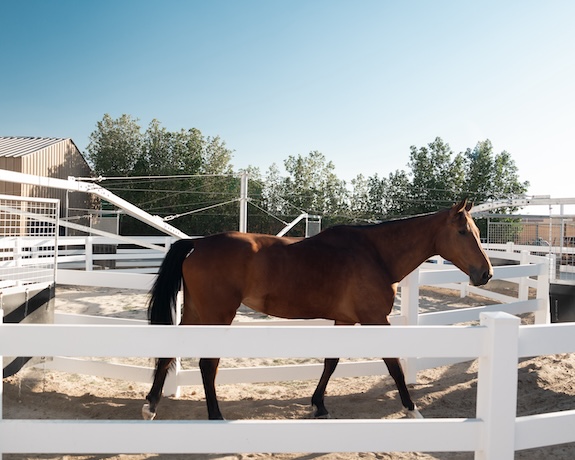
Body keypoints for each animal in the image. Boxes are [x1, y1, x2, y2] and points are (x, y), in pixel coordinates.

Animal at [142, 198, 492, 420]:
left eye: (477, 232)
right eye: (463, 232)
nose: (485, 273)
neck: (375, 252)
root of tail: (198, 243)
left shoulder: (345, 320)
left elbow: (331, 361)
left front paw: (318, 405)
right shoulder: (376, 319)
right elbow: (394, 365)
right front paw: (411, 408)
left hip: (197, 314)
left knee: (169, 353)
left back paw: (152, 405)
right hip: (217, 315)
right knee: (207, 364)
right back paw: (215, 415)